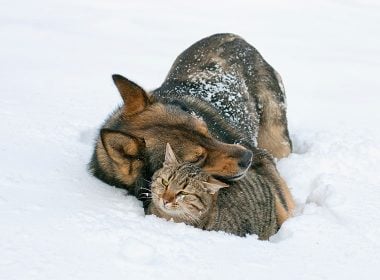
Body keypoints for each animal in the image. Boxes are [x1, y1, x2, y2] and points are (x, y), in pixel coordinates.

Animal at [88, 33, 294, 225]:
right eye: (197, 159)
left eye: (206, 131)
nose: (249, 157)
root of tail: (230, 36)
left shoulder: (265, 165)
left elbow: (284, 208)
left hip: (277, 142)